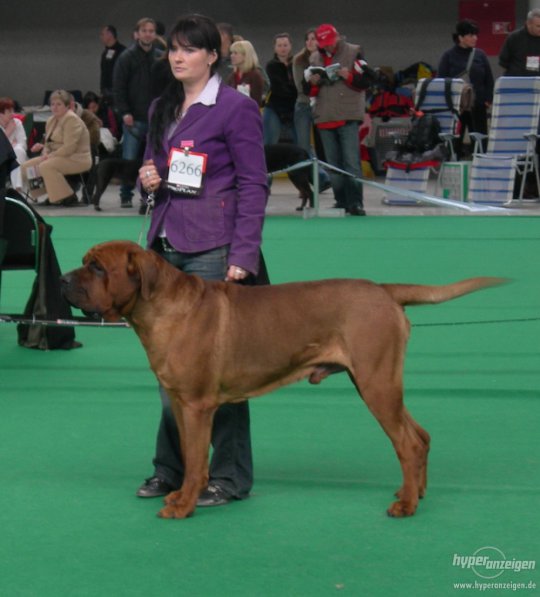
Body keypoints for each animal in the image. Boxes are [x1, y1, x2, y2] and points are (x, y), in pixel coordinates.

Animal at [61, 240, 504, 520]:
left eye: (97, 267)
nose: (64, 280)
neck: (162, 308)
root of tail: (383, 290)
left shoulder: (197, 405)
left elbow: (196, 463)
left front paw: (184, 506)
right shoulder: (181, 403)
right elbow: (188, 457)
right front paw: (180, 495)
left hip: (377, 384)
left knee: (408, 442)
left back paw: (406, 506)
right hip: (378, 383)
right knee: (421, 435)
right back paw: (414, 492)